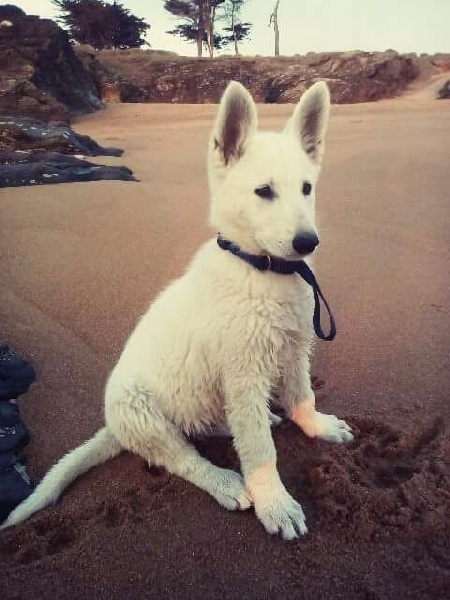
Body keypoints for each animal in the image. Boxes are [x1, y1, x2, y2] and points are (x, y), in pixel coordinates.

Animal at [3, 81, 353, 539]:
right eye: (264, 191)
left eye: (307, 188)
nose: (308, 242)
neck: (260, 269)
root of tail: (114, 428)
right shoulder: (243, 373)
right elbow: (259, 450)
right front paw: (275, 504)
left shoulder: (295, 349)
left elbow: (301, 396)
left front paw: (318, 426)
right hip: (140, 410)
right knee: (181, 455)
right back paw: (225, 483)